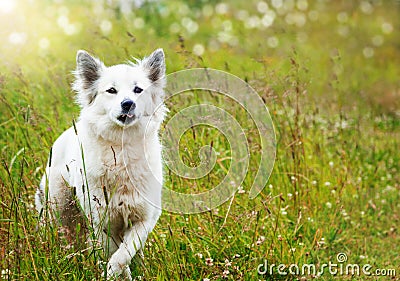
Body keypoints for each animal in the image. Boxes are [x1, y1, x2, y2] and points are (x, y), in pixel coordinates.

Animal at [34, 48, 166, 278]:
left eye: (138, 90)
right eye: (111, 90)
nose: (128, 103)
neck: (121, 151)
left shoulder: (144, 219)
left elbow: (125, 253)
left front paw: (117, 272)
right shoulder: (102, 222)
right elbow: (114, 253)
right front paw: (113, 274)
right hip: (59, 209)